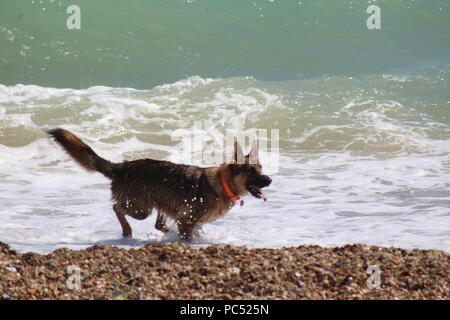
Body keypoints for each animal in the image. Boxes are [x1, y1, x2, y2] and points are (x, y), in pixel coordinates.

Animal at [46, 128, 270, 240]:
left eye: (260, 168)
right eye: (251, 171)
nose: (269, 180)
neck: (223, 184)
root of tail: (121, 167)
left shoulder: (190, 221)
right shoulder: (187, 221)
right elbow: (187, 235)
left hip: (159, 203)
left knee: (158, 224)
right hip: (141, 209)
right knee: (117, 207)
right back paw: (127, 231)